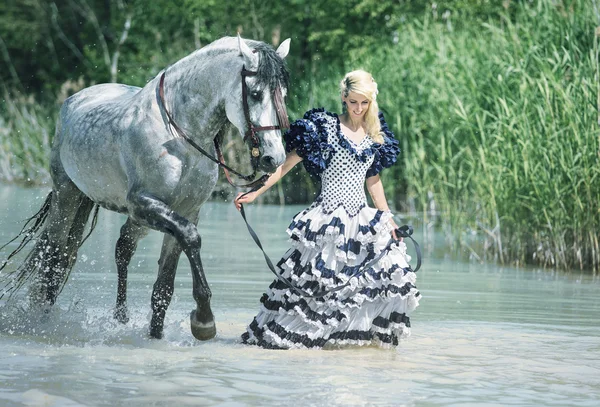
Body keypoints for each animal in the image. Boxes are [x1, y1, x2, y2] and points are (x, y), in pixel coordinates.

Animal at [0, 35, 290, 342]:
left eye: (283, 94)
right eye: (256, 94)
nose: (274, 158)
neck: (179, 136)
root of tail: (74, 100)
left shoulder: (186, 210)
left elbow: (164, 287)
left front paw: (158, 335)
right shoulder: (143, 203)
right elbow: (191, 237)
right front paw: (204, 320)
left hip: (133, 219)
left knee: (120, 249)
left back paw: (120, 317)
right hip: (67, 196)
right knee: (55, 257)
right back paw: (42, 322)